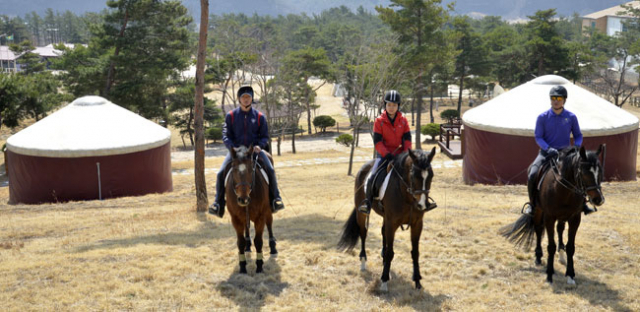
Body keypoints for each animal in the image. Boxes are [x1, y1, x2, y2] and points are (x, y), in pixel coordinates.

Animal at [338, 147, 438, 292]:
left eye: (431, 175)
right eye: (414, 175)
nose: (422, 205)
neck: (407, 197)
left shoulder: (417, 224)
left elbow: (415, 252)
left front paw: (418, 281)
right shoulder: (392, 223)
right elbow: (391, 252)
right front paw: (384, 281)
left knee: (382, 232)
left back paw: (383, 259)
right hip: (361, 214)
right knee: (363, 233)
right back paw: (363, 261)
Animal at [500, 145, 604, 284]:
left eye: (600, 172)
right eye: (583, 172)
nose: (599, 200)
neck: (563, 189)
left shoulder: (575, 218)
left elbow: (570, 247)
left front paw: (570, 275)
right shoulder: (549, 217)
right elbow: (551, 246)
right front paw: (549, 274)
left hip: (562, 216)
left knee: (560, 229)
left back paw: (561, 255)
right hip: (538, 210)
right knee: (538, 230)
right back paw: (538, 257)